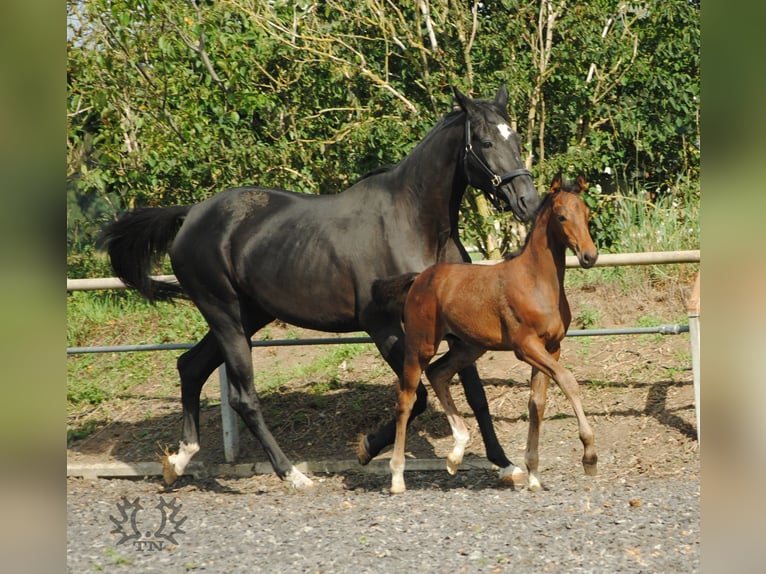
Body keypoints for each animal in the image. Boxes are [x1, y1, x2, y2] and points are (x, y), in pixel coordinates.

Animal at [100, 86, 541, 488]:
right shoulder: (383, 327)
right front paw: (366, 449)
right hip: (223, 314)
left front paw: (505, 465)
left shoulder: (450, 325)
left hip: (248, 315)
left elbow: (476, 394)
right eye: (485, 141)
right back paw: (293, 475)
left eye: (516, 139)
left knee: (190, 367)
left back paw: (178, 462)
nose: (528, 203)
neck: (412, 224)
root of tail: (192, 214)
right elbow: (416, 395)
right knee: (242, 396)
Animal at [371, 173, 598, 494]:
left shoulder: (551, 348)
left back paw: (456, 454)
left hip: (468, 347)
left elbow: (536, 403)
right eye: (562, 216)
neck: (537, 283)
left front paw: (533, 474)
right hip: (420, 346)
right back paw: (397, 478)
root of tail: (419, 279)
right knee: (406, 397)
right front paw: (589, 456)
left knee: (439, 373)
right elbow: (568, 381)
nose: (590, 256)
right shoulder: (526, 346)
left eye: (587, 214)